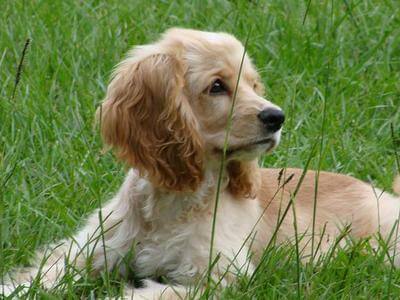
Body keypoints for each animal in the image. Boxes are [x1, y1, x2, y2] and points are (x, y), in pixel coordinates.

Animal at [2, 27, 400, 298]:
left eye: (254, 85)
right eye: (217, 86)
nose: (277, 117)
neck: (171, 200)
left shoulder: (216, 277)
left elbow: (150, 293)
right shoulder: (85, 250)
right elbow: (41, 274)